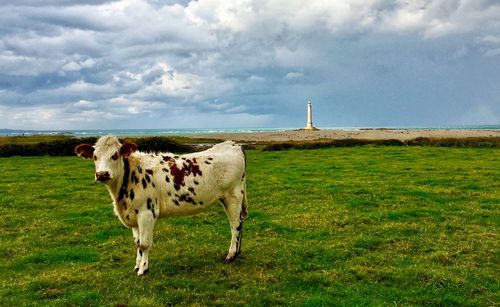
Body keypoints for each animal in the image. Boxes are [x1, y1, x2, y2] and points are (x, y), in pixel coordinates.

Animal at [74, 135, 248, 276]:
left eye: (115, 155)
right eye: (95, 157)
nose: (102, 174)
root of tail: (232, 144)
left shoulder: (146, 213)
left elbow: (144, 244)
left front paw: (143, 269)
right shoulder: (133, 216)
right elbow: (137, 243)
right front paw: (137, 265)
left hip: (233, 195)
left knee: (235, 225)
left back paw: (231, 255)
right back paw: (238, 252)